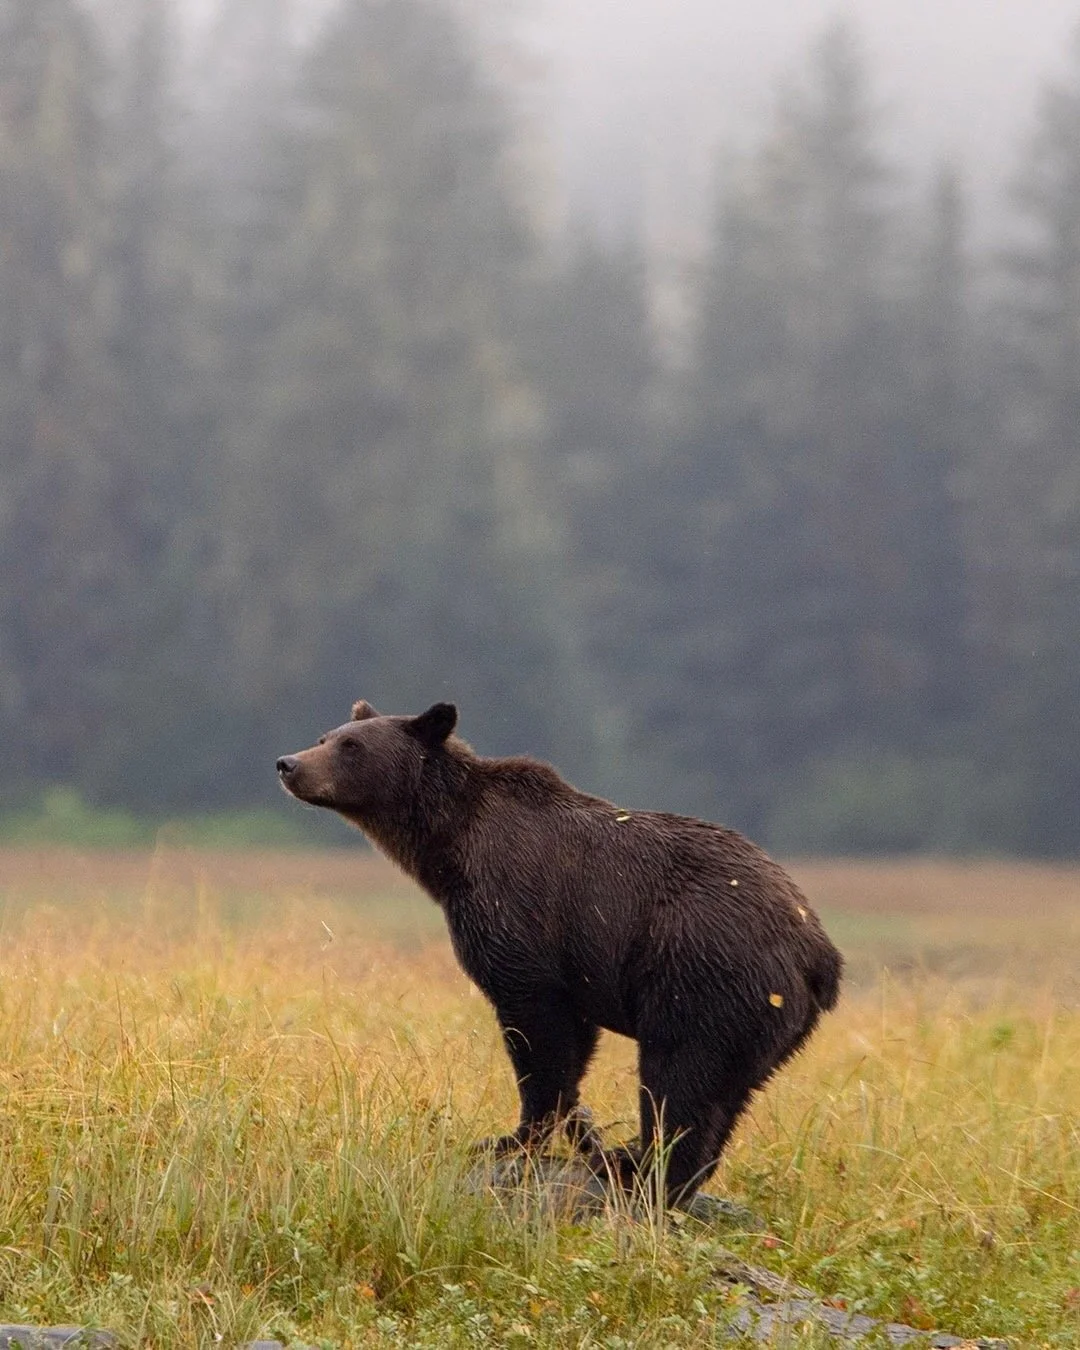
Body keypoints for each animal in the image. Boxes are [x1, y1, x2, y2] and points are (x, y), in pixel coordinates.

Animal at [277, 700, 842, 1207]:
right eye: (327, 735)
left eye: (351, 746)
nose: (289, 763)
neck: (449, 846)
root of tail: (819, 953)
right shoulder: (575, 967)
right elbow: (571, 1050)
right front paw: (580, 1130)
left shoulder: (518, 915)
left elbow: (537, 1036)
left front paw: (510, 1138)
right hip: (762, 1021)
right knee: (725, 1095)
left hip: (704, 976)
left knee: (682, 1078)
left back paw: (641, 1172)